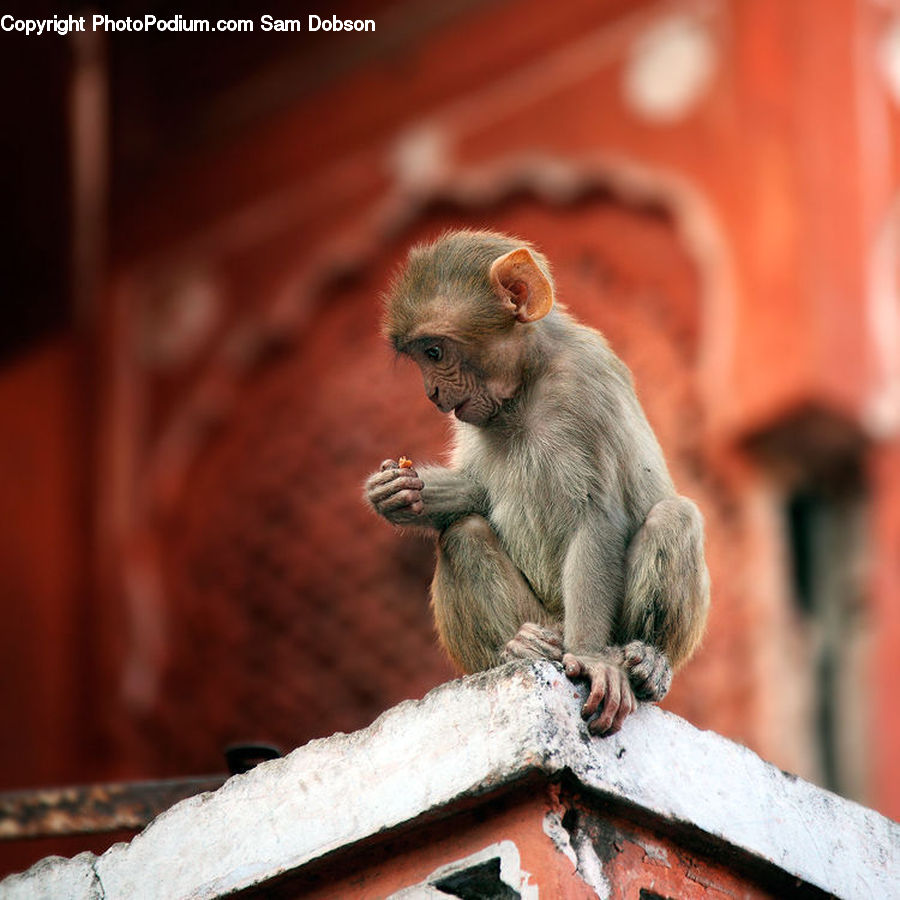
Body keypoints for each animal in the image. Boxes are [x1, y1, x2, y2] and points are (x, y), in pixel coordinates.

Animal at [365, 230, 709, 735]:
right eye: (420, 357)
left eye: (434, 352)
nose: (431, 393)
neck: (527, 385)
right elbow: (477, 493)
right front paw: (396, 494)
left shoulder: (586, 383)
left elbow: (597, 516)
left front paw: (593, 660)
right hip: (540, 618)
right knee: (464, 533)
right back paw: (517, 649)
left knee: (674, 516)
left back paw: (647, 662)